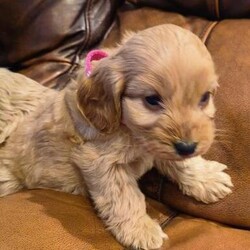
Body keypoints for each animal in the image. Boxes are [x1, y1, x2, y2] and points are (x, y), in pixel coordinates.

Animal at [0, 23, 232, 250]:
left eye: (205, 98)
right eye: (152, 100)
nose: (187, 146)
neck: (128, 130)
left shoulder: (158, 145)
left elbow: (183, 163)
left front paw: (207, 178)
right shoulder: (100, 162)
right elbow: (124, 197)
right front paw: (140, 229)